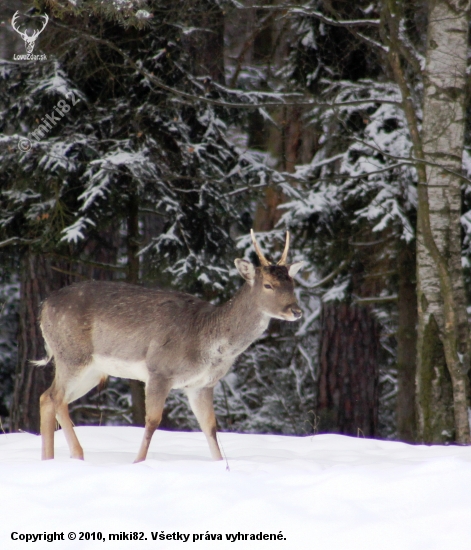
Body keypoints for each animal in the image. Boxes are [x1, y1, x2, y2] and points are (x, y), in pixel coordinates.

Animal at [36, 231, 302, 464]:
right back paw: (77, 454)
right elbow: (153, 421)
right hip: (72, 355)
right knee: (56, 397)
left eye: (292, 284)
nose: (296, 310)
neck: (207, 340)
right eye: (268, 285)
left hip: (92, 370)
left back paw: (49, 460)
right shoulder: (159, 370)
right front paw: (138, 462)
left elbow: (210, 427)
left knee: (46, 397)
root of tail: (44, 306)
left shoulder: (202, 384)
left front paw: (220, 466)